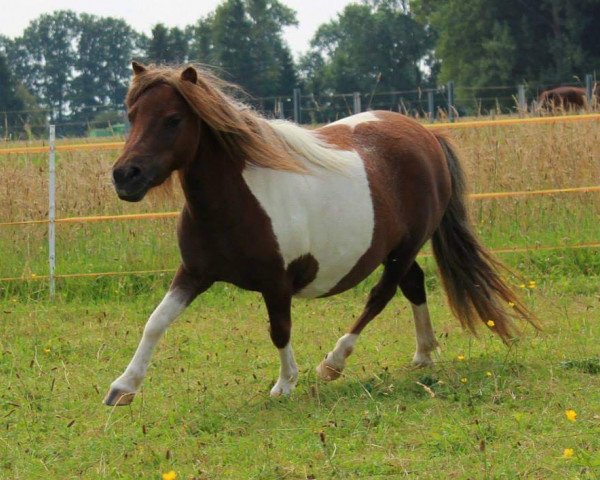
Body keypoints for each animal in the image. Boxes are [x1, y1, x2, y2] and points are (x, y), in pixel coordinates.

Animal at [103, 62, 540, 404]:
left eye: (173, 119)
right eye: (131, 115)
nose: (125, 176)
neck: (237, 200)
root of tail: (428, 135)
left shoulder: (276, 283)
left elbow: (279, 330)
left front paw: (285, 384)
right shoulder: (194, 273)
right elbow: (156, 321)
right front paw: (123, 387)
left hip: (405, 246)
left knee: (382, 294)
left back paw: (334, 362)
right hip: (397, 250)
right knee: (414, 284)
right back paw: (424, 353)